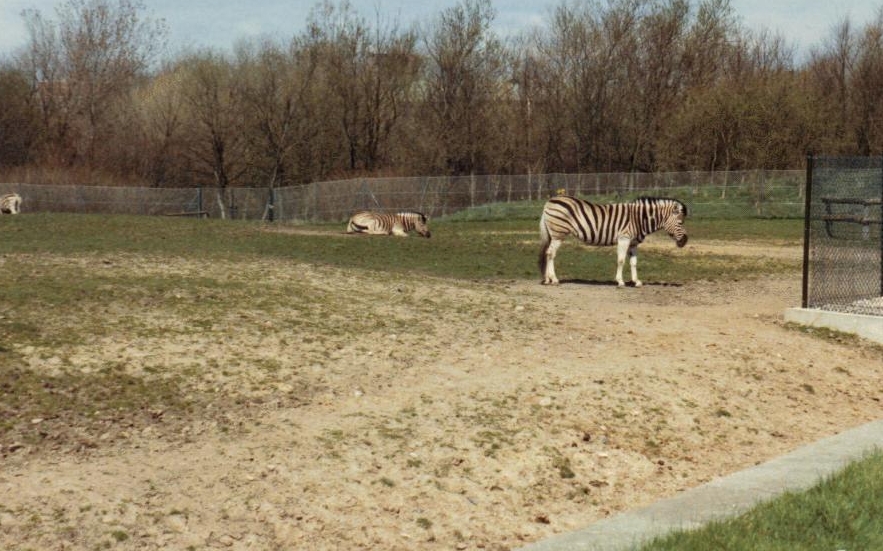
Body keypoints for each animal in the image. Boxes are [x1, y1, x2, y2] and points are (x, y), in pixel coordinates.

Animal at [539, 196, 688, 287]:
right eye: (680, 222)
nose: (685, 241)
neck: (639, 219)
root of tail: (550, 201)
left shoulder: (633, 243)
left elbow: (633, 262)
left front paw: (636, 281)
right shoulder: (624, 238)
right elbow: (621, 260)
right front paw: (620, 281)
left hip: (553, 234)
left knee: (547, 253)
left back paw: (547, 279)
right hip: (558, 234)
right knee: (551, 254)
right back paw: (554, 279)